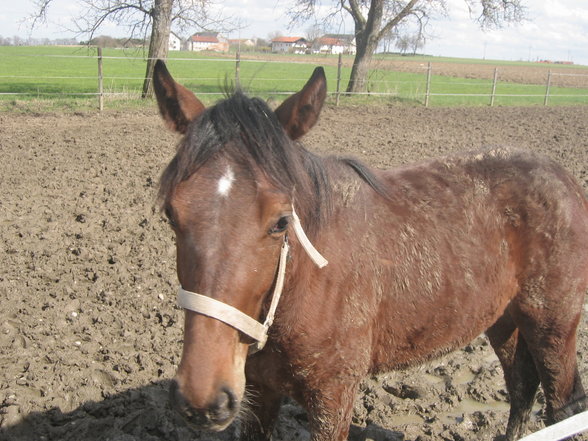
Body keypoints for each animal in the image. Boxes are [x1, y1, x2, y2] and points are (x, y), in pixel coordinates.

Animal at [153, 59, 588, 440]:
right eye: (171, 214)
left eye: (281, 221)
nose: (203, 398)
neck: (306, 281)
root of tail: (564, 177)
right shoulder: (259, 393)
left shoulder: (333, 396)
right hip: (504, 319)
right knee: (521, 385)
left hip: (553, 324)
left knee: (563, 405)